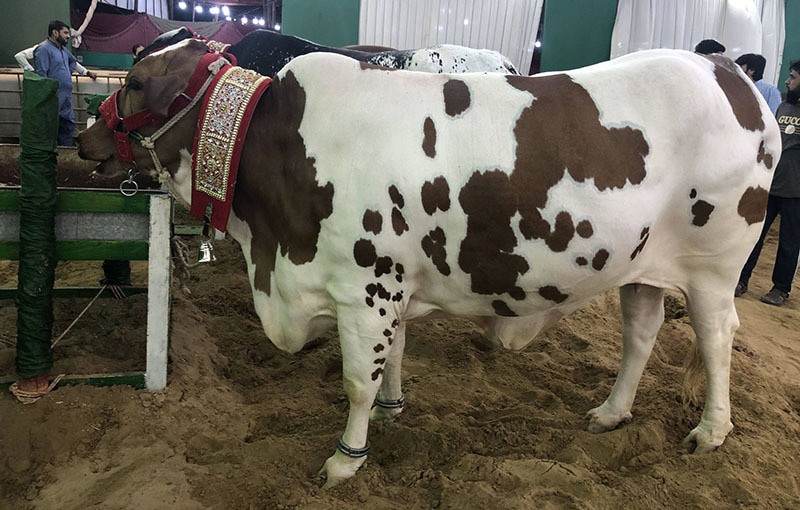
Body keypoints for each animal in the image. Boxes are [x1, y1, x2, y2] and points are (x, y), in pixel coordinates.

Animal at [77, 39, 780, 487]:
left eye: (135, 84)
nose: (85, 136)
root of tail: (725, 70)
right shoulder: (391, 287)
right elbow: (393, 360)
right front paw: (392, 410)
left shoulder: (364, 288)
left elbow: (357, 380)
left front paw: (347, 458)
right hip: (639, 266)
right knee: (641, 332)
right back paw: (611, 412)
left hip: (714, 268)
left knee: (715, 340)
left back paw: (711, 431)